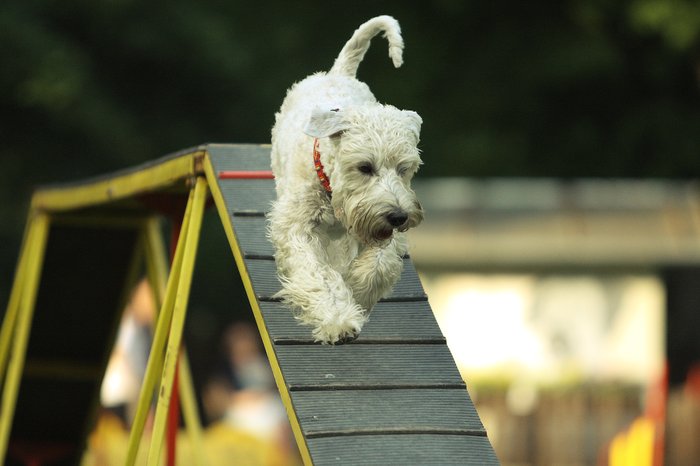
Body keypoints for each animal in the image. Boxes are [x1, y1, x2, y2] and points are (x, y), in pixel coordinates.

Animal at [266, 14, 422, 344]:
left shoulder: (378, 229)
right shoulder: (298, 228)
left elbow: (378, 264)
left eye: (404, 168)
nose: (398, 216)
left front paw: (359, 290)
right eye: (365, 167)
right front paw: (338, 320)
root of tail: (338, 72)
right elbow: (318, 275)